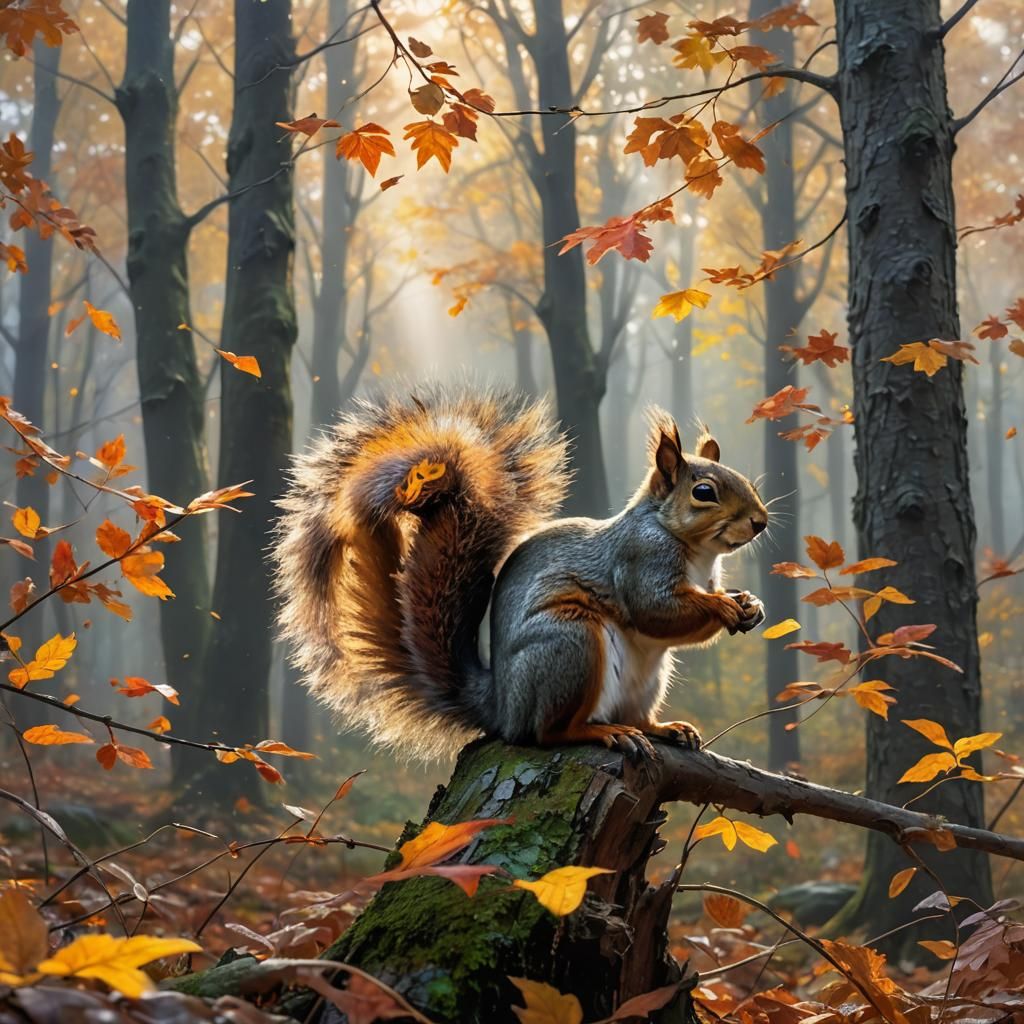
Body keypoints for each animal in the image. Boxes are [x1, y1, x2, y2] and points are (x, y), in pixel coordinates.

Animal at [273, 386, 768, 761]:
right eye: (703, 492)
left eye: (748, 482)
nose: (760, 521)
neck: (697, 552)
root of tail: (502, 707)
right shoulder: (638, 559)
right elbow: (655, 609)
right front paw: (723, 607)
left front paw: (749, 604)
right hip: (569, 643)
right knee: (547, 733)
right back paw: (599, 733)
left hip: (645, 678)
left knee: (634, 716)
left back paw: (663, 728)